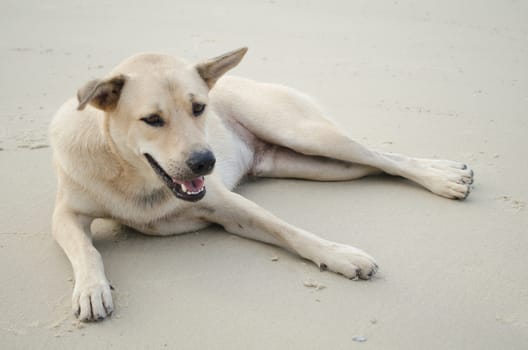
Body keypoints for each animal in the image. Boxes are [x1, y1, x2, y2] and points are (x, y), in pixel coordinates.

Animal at [49, 47, 474, 322]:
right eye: (152, 120)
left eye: (199, 108)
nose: (205, 162)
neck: (132, 174)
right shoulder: (65, 215)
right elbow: (86, 250)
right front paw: (91, 289)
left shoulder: (229, 206)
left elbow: (289, 230)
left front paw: (338, 255)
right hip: (321, 165)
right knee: (374, 167)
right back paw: (446, 173)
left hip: (306, 134)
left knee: (382, 157)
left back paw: (443, 177)